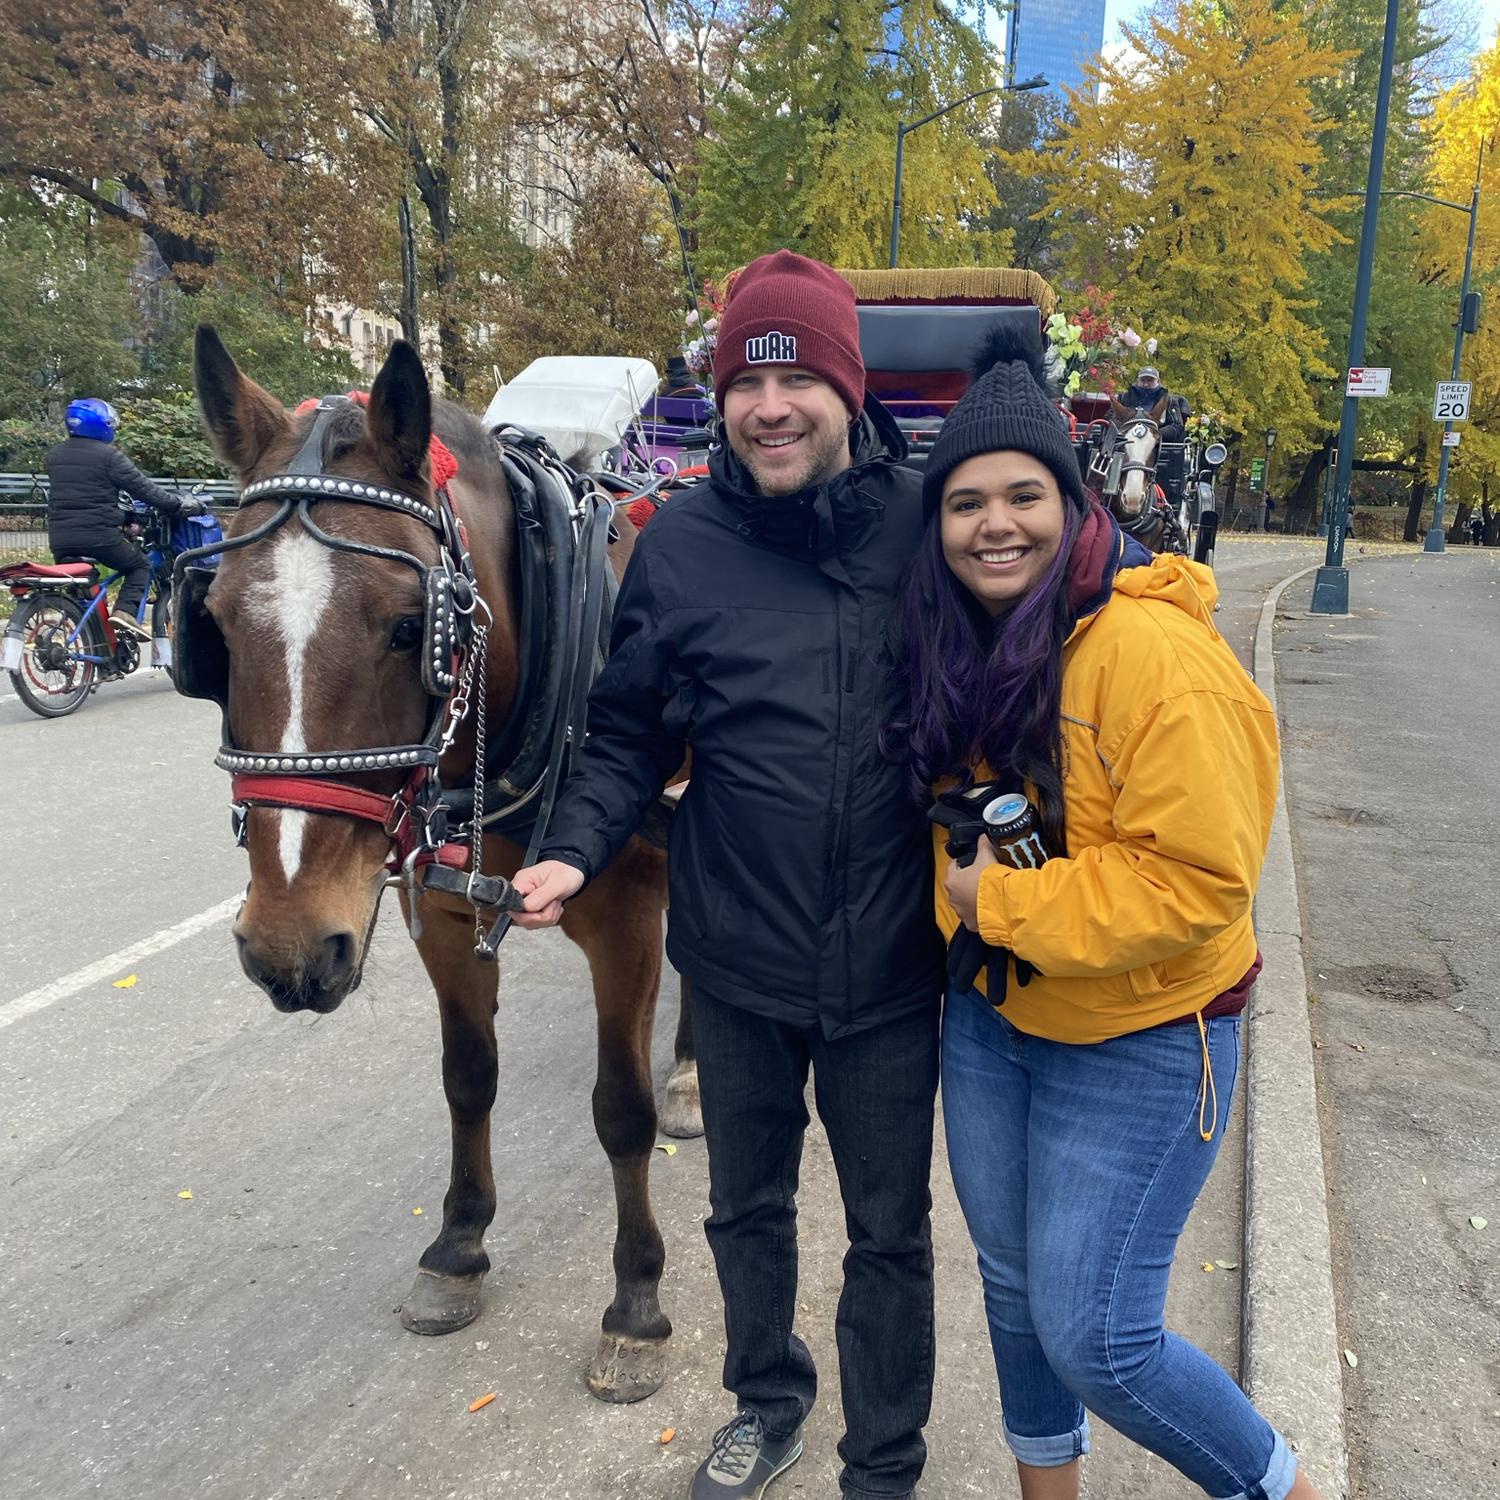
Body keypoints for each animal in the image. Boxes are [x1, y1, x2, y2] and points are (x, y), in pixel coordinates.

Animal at [184, 328, 699, 1404]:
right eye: (216, 623)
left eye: (408, 626)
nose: (287, 947)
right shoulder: (450, 915)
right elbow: (468, 1075)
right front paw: (459, 1246)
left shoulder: (628, 914)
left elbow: (619, 1110)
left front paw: (635, 1302)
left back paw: (686, 1075)